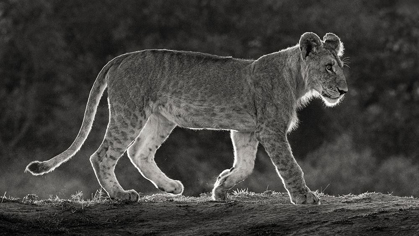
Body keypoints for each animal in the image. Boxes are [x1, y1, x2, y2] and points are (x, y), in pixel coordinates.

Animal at [25, 31, 348, 205]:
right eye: (329, 67)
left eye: (341, 66)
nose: (344, 90)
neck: (297, 80)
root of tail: (122, 57)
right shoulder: (271, 130)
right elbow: (290, 167)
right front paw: (305, 197)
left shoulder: (245, 131)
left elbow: (245, 165)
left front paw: (221, 187)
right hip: (130, 111)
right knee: (102, 155)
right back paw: (121, 195)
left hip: (161, 118)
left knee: (139, 152)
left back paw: (171, 187)